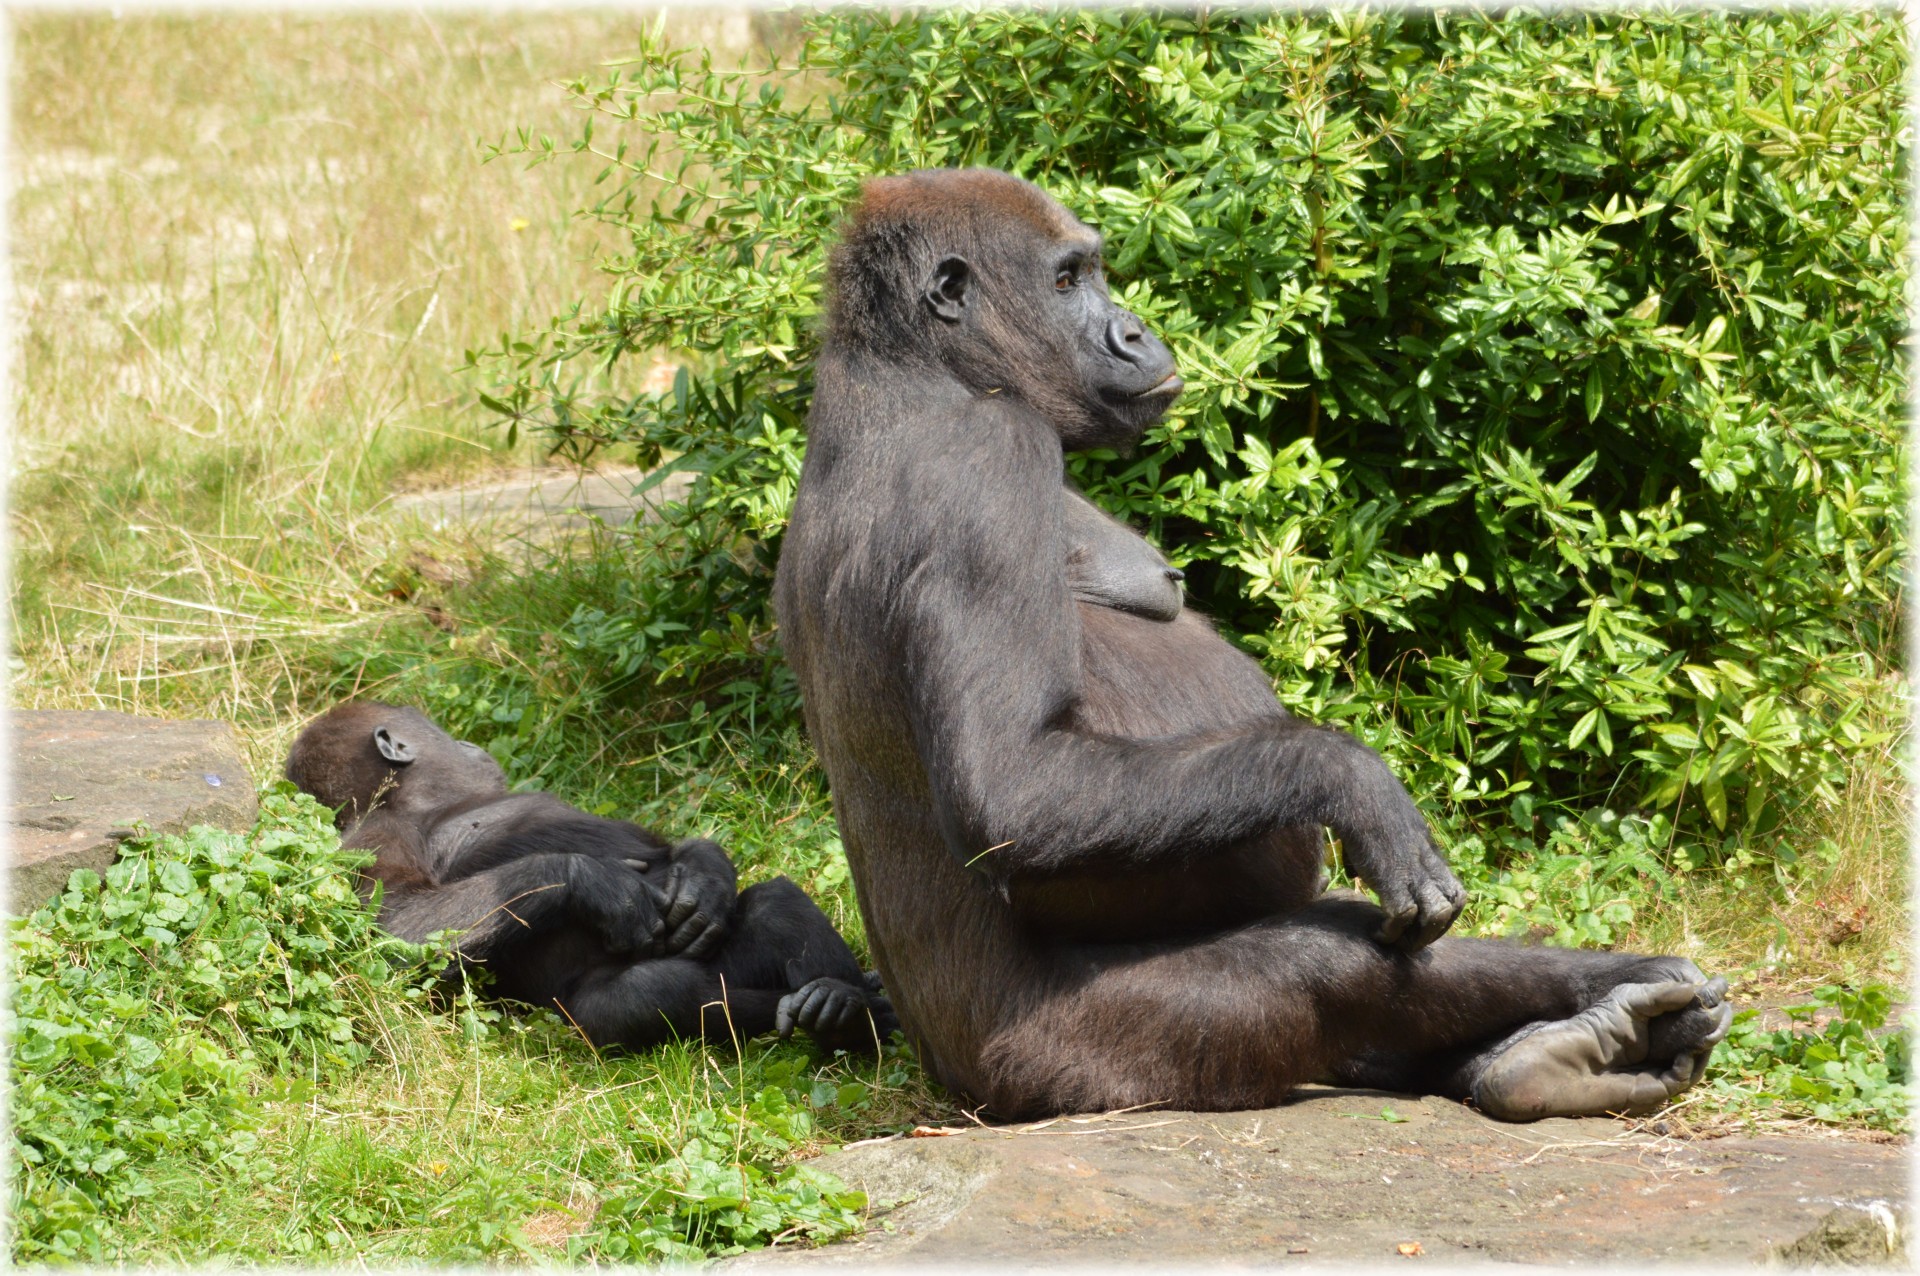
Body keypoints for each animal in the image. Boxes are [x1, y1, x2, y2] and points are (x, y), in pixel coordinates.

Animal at [284, 702, 898, 1051]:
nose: (470, 743)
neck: (424, 800)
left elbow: (672, 852)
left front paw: (706, 875)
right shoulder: (374, 836)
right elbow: (397, 929)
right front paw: (593, 882)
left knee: (775, 907)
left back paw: (839, 1004)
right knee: (640, 996)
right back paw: (852, 1016)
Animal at [771, 166, 1735, 1112]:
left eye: (1091, 271)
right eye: (1066, 281)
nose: (1134, 331)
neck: (921, 372)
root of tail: (949, 1078)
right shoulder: (987, 464)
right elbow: (1012, 788)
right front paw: (1350, 778)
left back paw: (1558, 1053)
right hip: (1066, 1064)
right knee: (1330, 965)